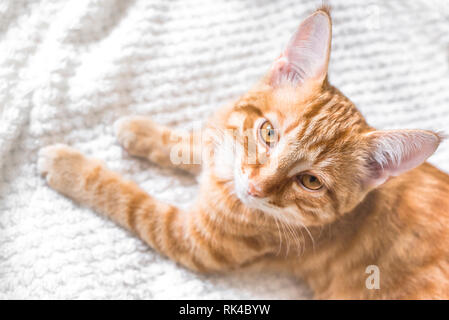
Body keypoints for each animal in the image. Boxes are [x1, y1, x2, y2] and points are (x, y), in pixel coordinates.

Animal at [37, 6, 448, 298]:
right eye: (268, 132)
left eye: (311, 182)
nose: (255, 187)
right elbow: (198, 144)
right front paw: (142, 130)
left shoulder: (192, 241)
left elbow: (130, 200)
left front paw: (69, 166)